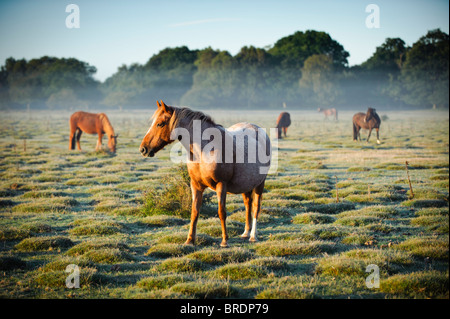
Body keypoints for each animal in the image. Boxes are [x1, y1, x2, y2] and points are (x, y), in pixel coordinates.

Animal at [139, 100, 270, 248]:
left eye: (160, 124)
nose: (143, 149)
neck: (204, 151)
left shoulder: (221, 185)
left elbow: (221, 212)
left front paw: (224, 241)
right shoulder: (195, 185)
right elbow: (194, 212)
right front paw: (189, 240)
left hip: (260, 184)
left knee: (256, 207)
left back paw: (253, 236)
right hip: (246, 185)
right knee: (248, 204)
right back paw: (246, 233)